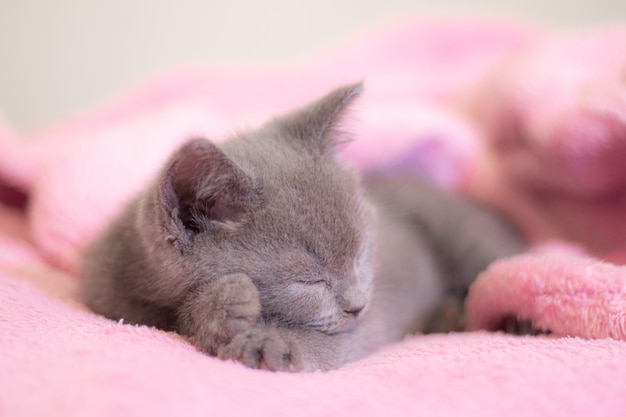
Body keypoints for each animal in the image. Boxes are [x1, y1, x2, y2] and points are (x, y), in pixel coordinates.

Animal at [81, 84, 520, 370]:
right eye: (308, 281)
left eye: (362, 253)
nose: (358, 304)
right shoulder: (110, 301)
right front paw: (222, 305)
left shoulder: (368, 325)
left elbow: (337, 345)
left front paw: (270, 342)